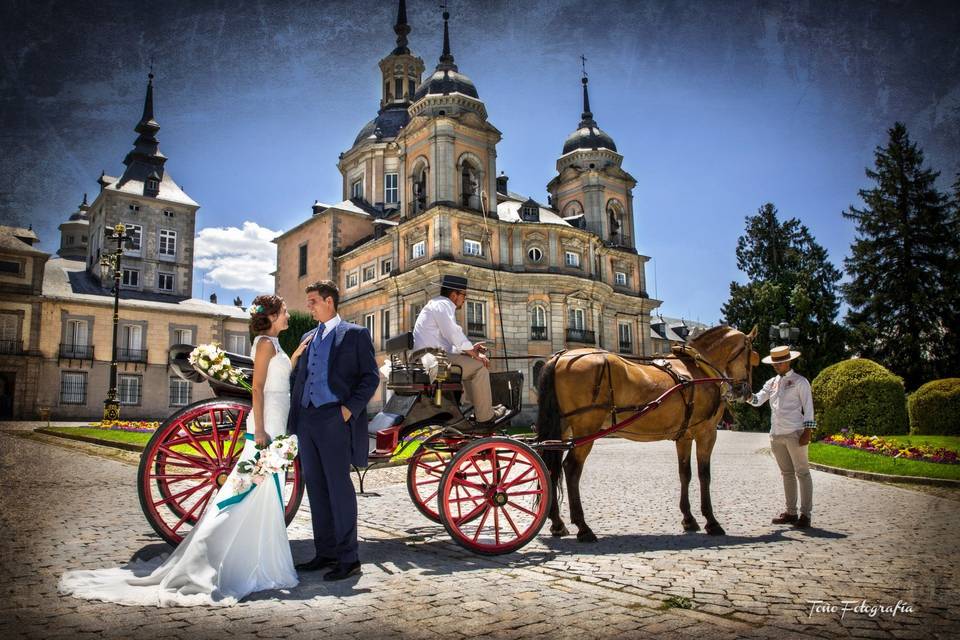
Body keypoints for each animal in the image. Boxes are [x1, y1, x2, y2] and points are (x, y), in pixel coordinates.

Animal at [536, 324, 752, 540]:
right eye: (751, 354)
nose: (746, 391)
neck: (697, 368)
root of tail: (560, 356)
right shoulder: (706, 433)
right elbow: (704, 475)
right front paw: (711, 522)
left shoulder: (684, 436)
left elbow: (685, 474)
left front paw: (689, 519)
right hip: (586, 428)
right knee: (571, 468)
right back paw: (583, 527)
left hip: (562, 430)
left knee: (551, 467)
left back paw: (557, 524)